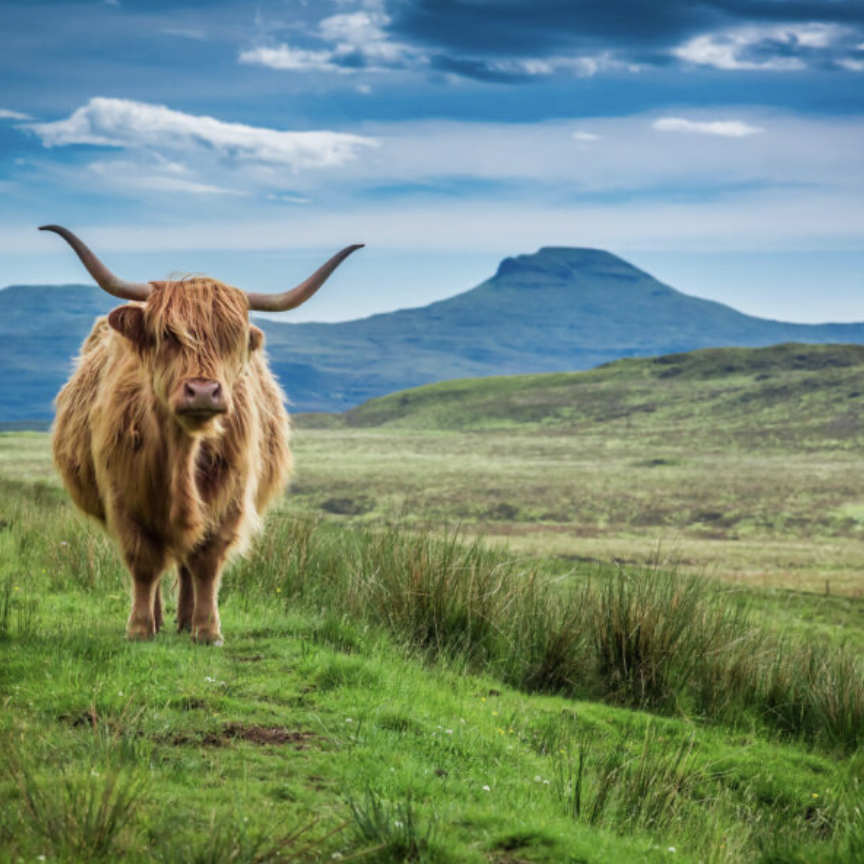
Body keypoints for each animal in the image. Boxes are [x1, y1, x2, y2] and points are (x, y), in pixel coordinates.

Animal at [44, 226, 362, 644]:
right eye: (167, 335)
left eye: (233, 338)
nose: (203, 391)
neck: (183, 452)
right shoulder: (123, 496)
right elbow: (144, 563)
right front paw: (140, 628)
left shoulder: (231, 498)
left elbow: (207, 562)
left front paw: (208, 630)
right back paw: (161, 618)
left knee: (186, 562)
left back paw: (185, 619)